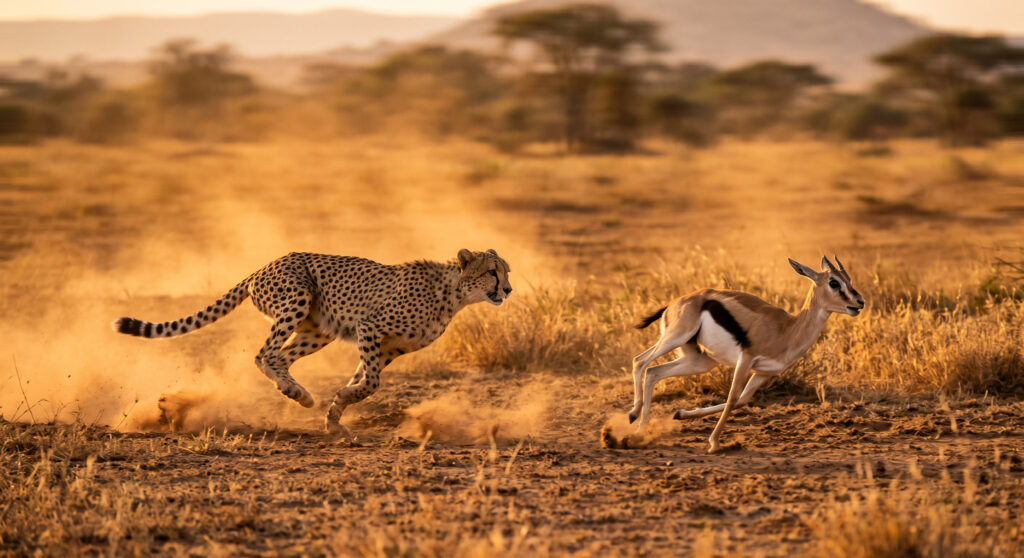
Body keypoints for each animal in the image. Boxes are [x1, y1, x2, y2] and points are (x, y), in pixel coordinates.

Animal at [113, 248, 512, 433]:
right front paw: (338, 408)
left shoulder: (388, 348)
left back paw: (300, 395)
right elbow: (371, 382)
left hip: (319, 330)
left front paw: (335, 415)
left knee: (280, 357)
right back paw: (296, 393)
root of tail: (265, 264)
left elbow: (361, 380)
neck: (453, 293)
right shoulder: (370, 327)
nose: (508, 290)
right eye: (492, 272)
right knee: (264, 354)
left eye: (506, 271)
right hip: (297, 298)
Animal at [617, 256, 864, 454]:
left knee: (654, 372)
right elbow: (733, 397)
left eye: (850, 281)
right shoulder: (746, 359)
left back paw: (640, 431)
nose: (859, 302)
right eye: (834, 282)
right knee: (640, 361)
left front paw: (680, 414)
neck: (787, 329)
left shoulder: (764, 372)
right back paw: (633, 418)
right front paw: (714, 443)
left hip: (699, 360)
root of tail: (675, 302)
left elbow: (742, 401)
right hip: (675, 338)